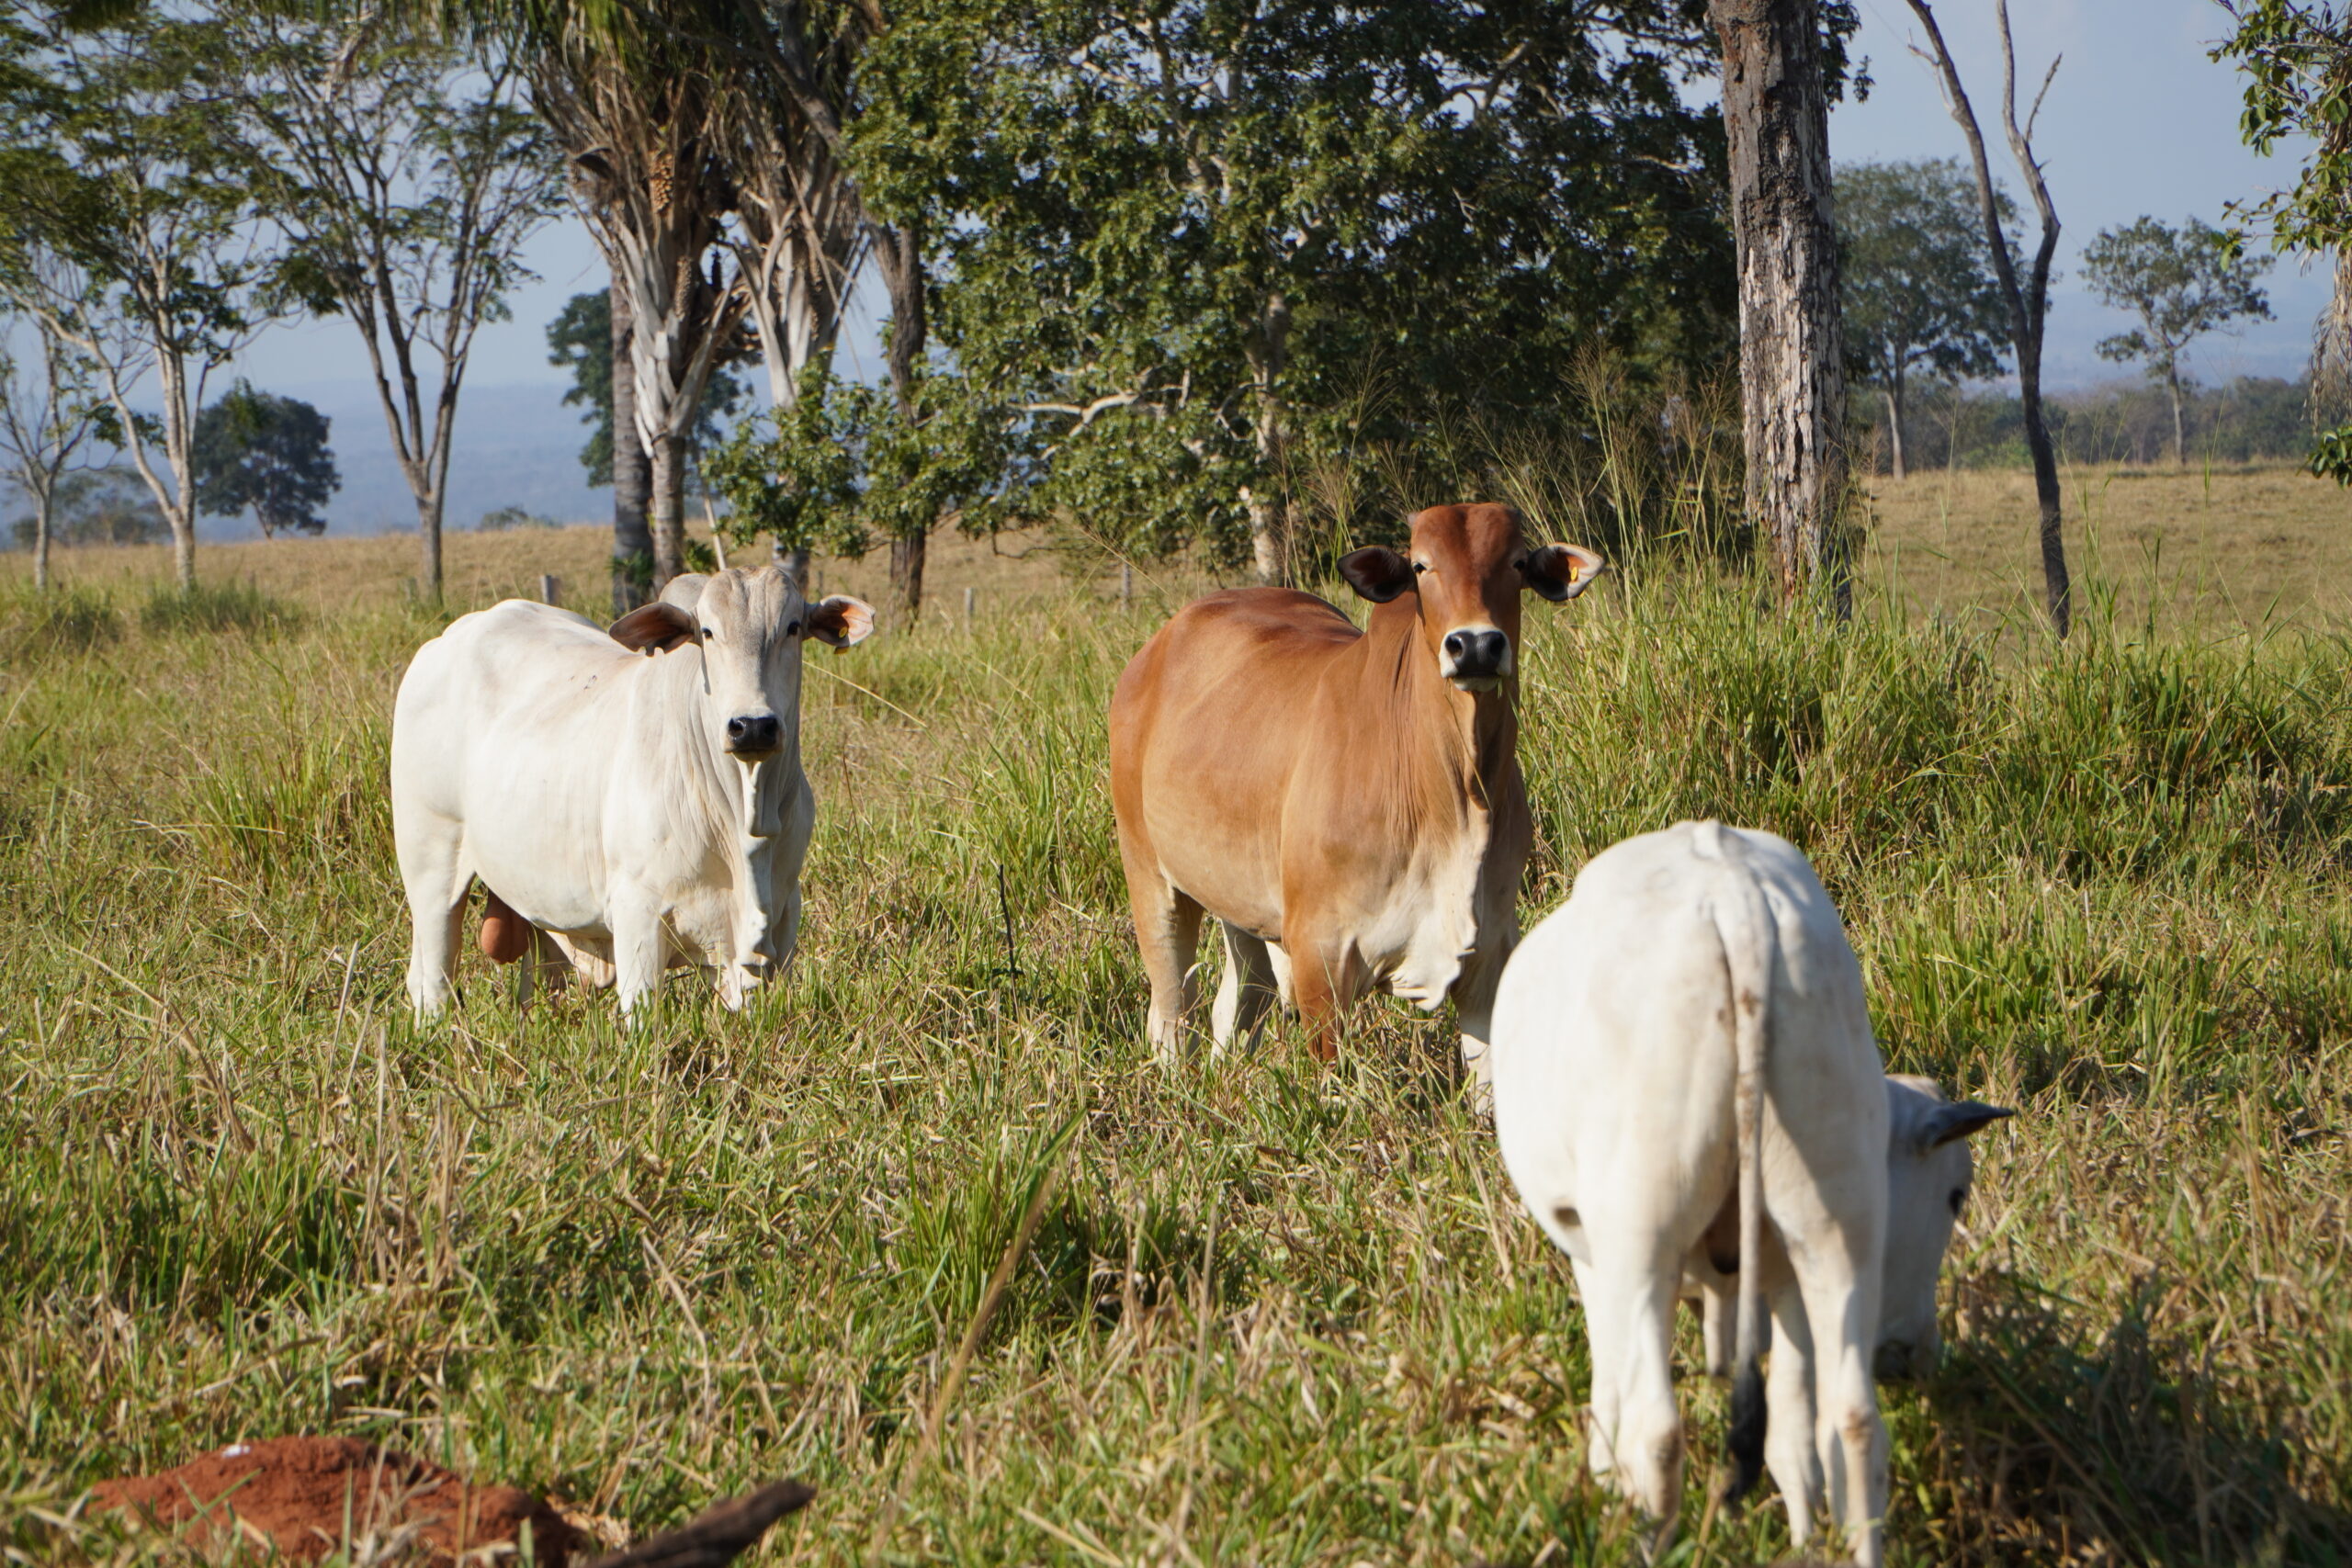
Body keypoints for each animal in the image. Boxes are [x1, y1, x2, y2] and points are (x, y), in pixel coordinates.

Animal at [390, 564, 879, 1020]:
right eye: (706, 631)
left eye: (793, 627)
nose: (753, 725)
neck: (745, 819)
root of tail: (446, 640)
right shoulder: (637, 914)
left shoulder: (781, 918)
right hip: (430, 862)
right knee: (431, 977)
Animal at [1110, 510, 1609, 1086]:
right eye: (1421, 565)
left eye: (1520, 562)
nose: (1477, 645)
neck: (1456, 798)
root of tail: (1156, 647)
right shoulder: (1321, 958)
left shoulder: (1490, 955)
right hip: (1149, 874)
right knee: (1172, 1013)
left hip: (1235, 895)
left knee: (1243, 997)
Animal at [1496, 827, 2013, 1561]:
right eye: (1955, 1195)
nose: (1918, 1353)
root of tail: (1733, 892)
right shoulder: (1783, 1283)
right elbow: (1796, 1441)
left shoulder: (1596, 1259)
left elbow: (1611, 1409)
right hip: (1832, 1221)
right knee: (1853, 1421)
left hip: (1642, 1231)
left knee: (1657, 1430)